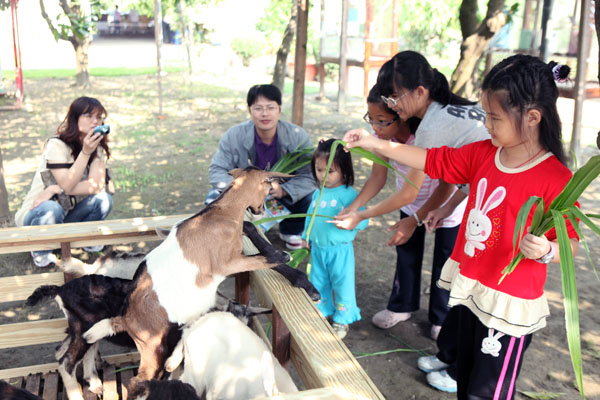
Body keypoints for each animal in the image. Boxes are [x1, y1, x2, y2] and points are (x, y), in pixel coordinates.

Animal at [84, 167, 318, 392]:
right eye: (269, 187)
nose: (260, 210)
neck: (221, 212)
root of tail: (124, 319)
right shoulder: (229, 263)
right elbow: (262, 259)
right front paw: (285, 258)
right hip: (152, 347)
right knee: (138, 380)